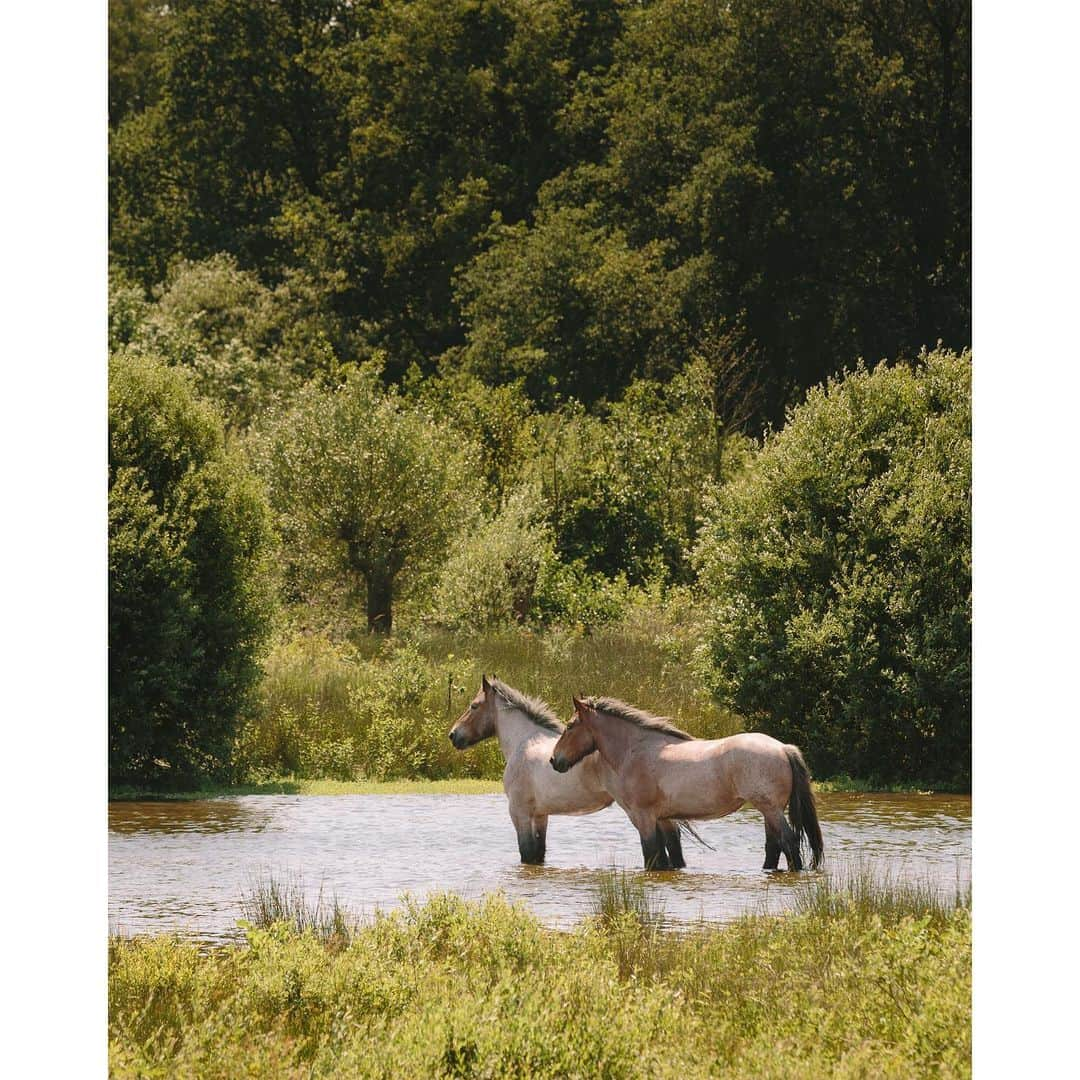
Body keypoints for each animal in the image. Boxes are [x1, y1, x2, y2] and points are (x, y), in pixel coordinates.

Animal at [449, 673, 617, 859]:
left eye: (474, 706)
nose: (453, 735)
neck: (523, 740)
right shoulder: (540, 815)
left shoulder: (519, 813)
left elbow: (527, 853)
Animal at [552, 699, 820, 868]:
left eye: (570, 726)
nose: (555, 760)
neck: (634, 751)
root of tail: (783, 748)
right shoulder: (663, 818)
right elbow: (669, 856)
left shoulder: (643, 817)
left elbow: (651, 854)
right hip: (769, 811)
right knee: (773, 846)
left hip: (771, 809)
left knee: (789, 842)